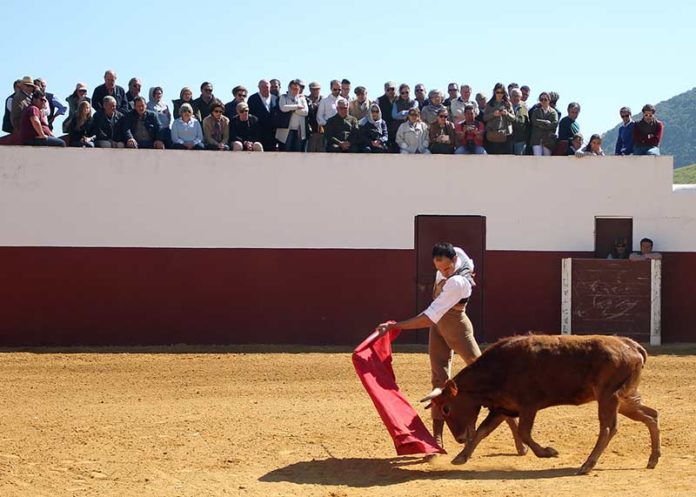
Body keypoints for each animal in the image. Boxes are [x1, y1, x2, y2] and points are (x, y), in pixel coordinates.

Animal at [422, 334, 660, 472]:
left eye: (446, 408)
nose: (460, 439)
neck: (498, 369)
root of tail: (632, 346)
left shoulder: (528, 406)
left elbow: (524, 432)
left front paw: (548, 452)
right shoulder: (503, 408)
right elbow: (482, 430)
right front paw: (461, 457)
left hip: (608, 397)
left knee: (609, 427)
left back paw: (587, 465)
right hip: (624, 399)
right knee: (651, 415)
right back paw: (653, 459)